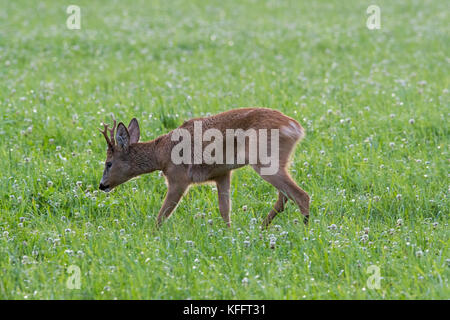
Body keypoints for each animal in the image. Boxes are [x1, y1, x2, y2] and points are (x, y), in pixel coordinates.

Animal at [98, 107, 310, 228]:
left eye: (108, 163)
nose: (101, 185)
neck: (161, 154)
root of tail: (296, 127)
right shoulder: (223, 173)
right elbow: (225, 210)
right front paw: (229, 234)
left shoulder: (178, 178)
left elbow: (162, 214)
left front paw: (152, 235)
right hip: (278, 162)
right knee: (285, 196)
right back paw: (262, 228)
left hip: (263, 159)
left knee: (300, 195)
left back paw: (304, 231)